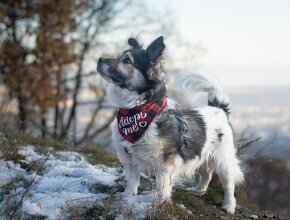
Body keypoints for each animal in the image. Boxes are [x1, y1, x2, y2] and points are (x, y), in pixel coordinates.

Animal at [98, 35, 245, 213]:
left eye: (127, 60)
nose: (99, 59)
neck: (137, 112)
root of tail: (218, 109)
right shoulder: (129, 159)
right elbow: (132, 181)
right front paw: (127, 198)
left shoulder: (164, 162)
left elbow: (162, 184)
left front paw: (161, 202)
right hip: (200, 154)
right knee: (206, 174)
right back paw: (199, 190)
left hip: (223, 161)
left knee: (229, 184)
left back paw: (229, 205)